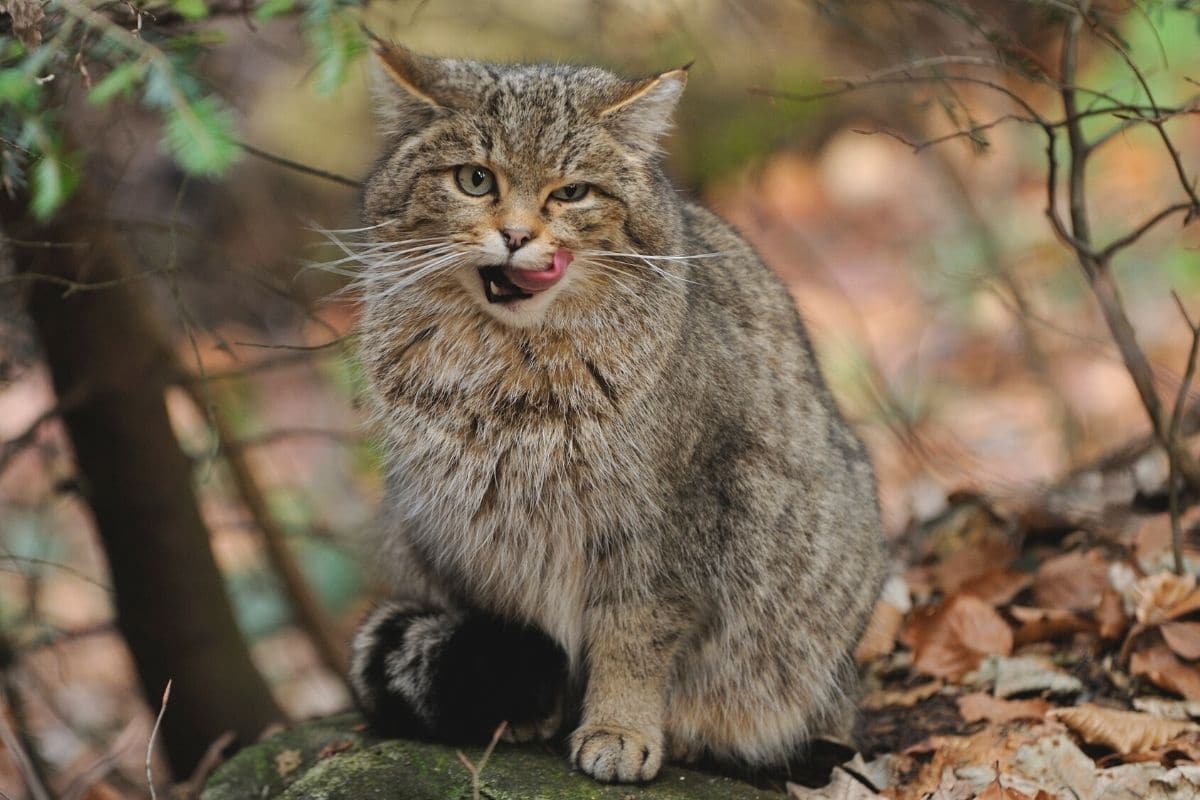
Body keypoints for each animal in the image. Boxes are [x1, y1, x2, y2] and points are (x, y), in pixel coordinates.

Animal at [348, 40, 892, 786]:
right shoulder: (474, 530)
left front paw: (620, 726)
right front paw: (529, 702)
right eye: (475, 180)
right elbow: (515, 622)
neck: (507, 371)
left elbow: (636, 639)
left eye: (572, 192)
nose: (515, 235)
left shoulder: (664, 530)